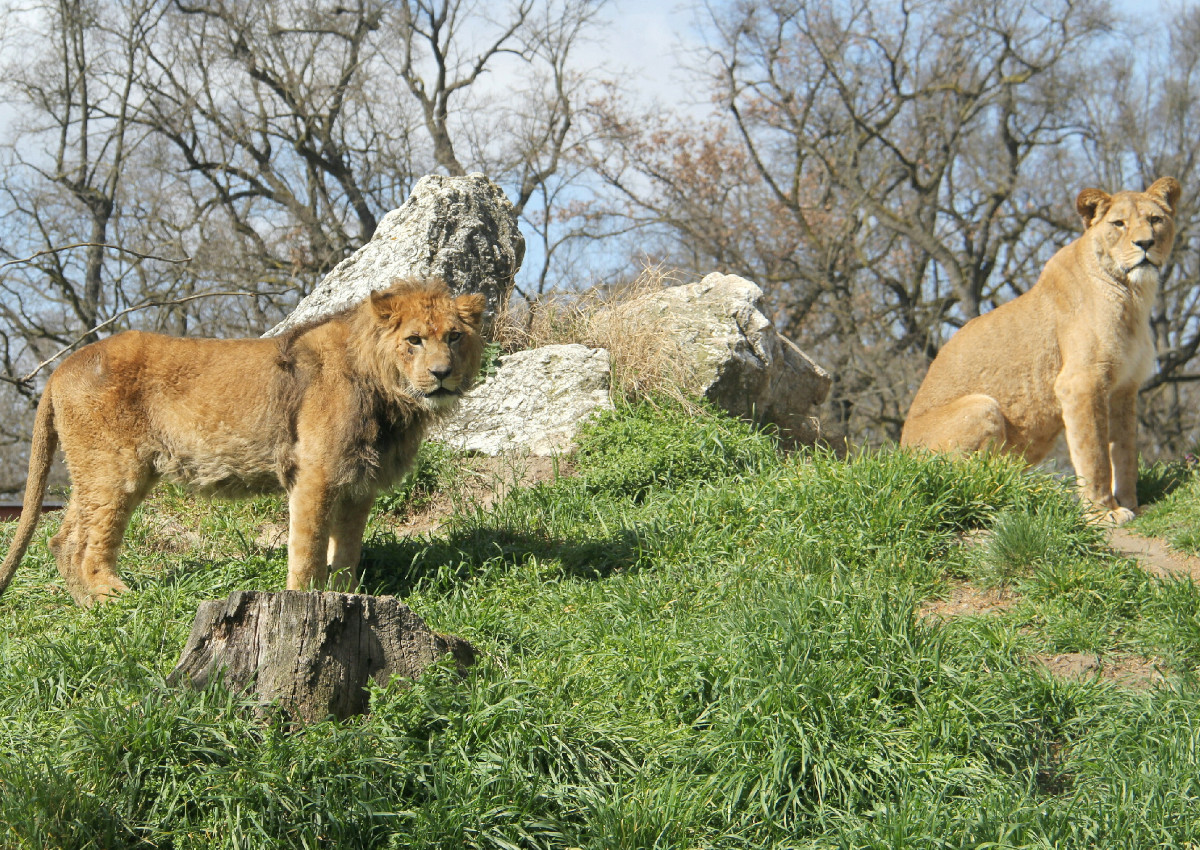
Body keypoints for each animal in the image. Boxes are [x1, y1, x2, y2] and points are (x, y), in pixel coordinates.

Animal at [2, 278, 487, 605]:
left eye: (454, 337)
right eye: (414, 340)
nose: (442, 373)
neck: (390, 397)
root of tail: (64, 364)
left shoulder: (358, 482)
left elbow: (347, 550)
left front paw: (346, 597)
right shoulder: (315, 473)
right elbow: (308, 548)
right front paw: (303, 599)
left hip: (96, 470)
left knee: (63, 539)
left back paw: (89, 608)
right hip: (114, 468)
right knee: (89, 543)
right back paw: (116, 601)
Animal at [902, 176, 1176, 523]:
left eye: (1155, 220)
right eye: (1119, 224)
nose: (1145, 244)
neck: (1133, 295)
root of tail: (898, 452)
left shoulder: (1125, 387)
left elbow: (1124, 453)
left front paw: (1132, 505)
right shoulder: (1081, 383)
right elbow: (1095, 453)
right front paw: (1103, 513)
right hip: (981, 406)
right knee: (967, 480)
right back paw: (1026, 489)